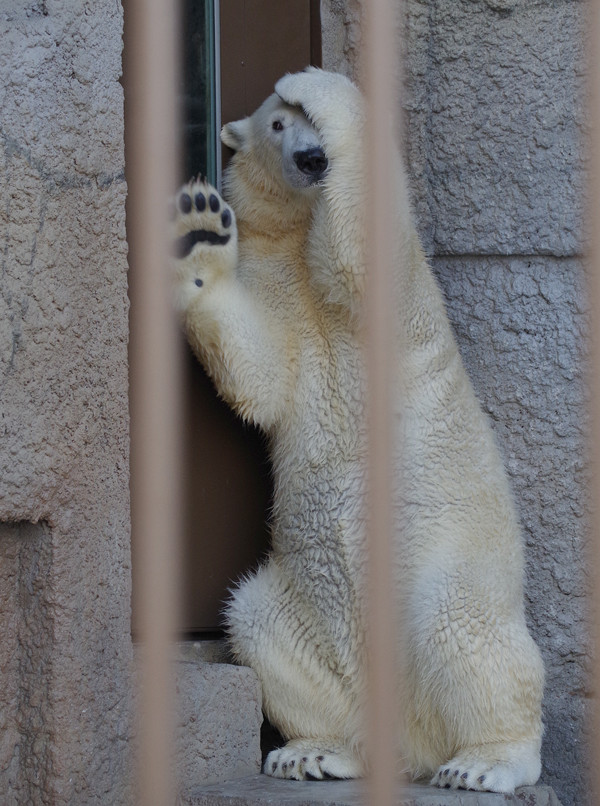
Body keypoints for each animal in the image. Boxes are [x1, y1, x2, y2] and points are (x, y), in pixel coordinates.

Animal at [169, 69, 544, 796]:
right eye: (277, 126)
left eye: (307, 123)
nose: (314, 158)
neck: (297, 240)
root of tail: (408, 733)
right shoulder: (278, 285)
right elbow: (261, 373)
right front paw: (199, 231)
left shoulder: (388, 301)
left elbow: (367, 256)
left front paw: (323, 86)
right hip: (306, 618)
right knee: (256, 619)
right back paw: (316, 751)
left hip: (450, 563)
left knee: (463, 625)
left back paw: (485, 761)